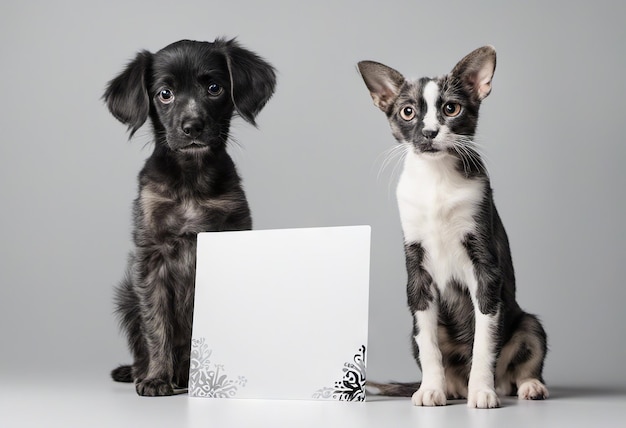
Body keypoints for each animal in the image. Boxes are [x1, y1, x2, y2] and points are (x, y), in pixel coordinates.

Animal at [103, 38, 274, 396]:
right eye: (164, 94)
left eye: (214, 88)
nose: (192, 127)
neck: (191, 180)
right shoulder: (150, 259)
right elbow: (157, 327)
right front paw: (156, 377)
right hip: (126, 295)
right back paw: (146, 372)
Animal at [356, 46, 544, 408]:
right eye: (408, 112)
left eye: (451, 108)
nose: (429, 133)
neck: (436, 179)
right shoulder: (417, 276)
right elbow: (429, 345)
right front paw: (431, 389)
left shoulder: (485, 269)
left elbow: (485, 341)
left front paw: (481, 391)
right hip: (418, 330)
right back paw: (453, 387)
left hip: (528, 324)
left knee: (523, 360)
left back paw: (524, 386)